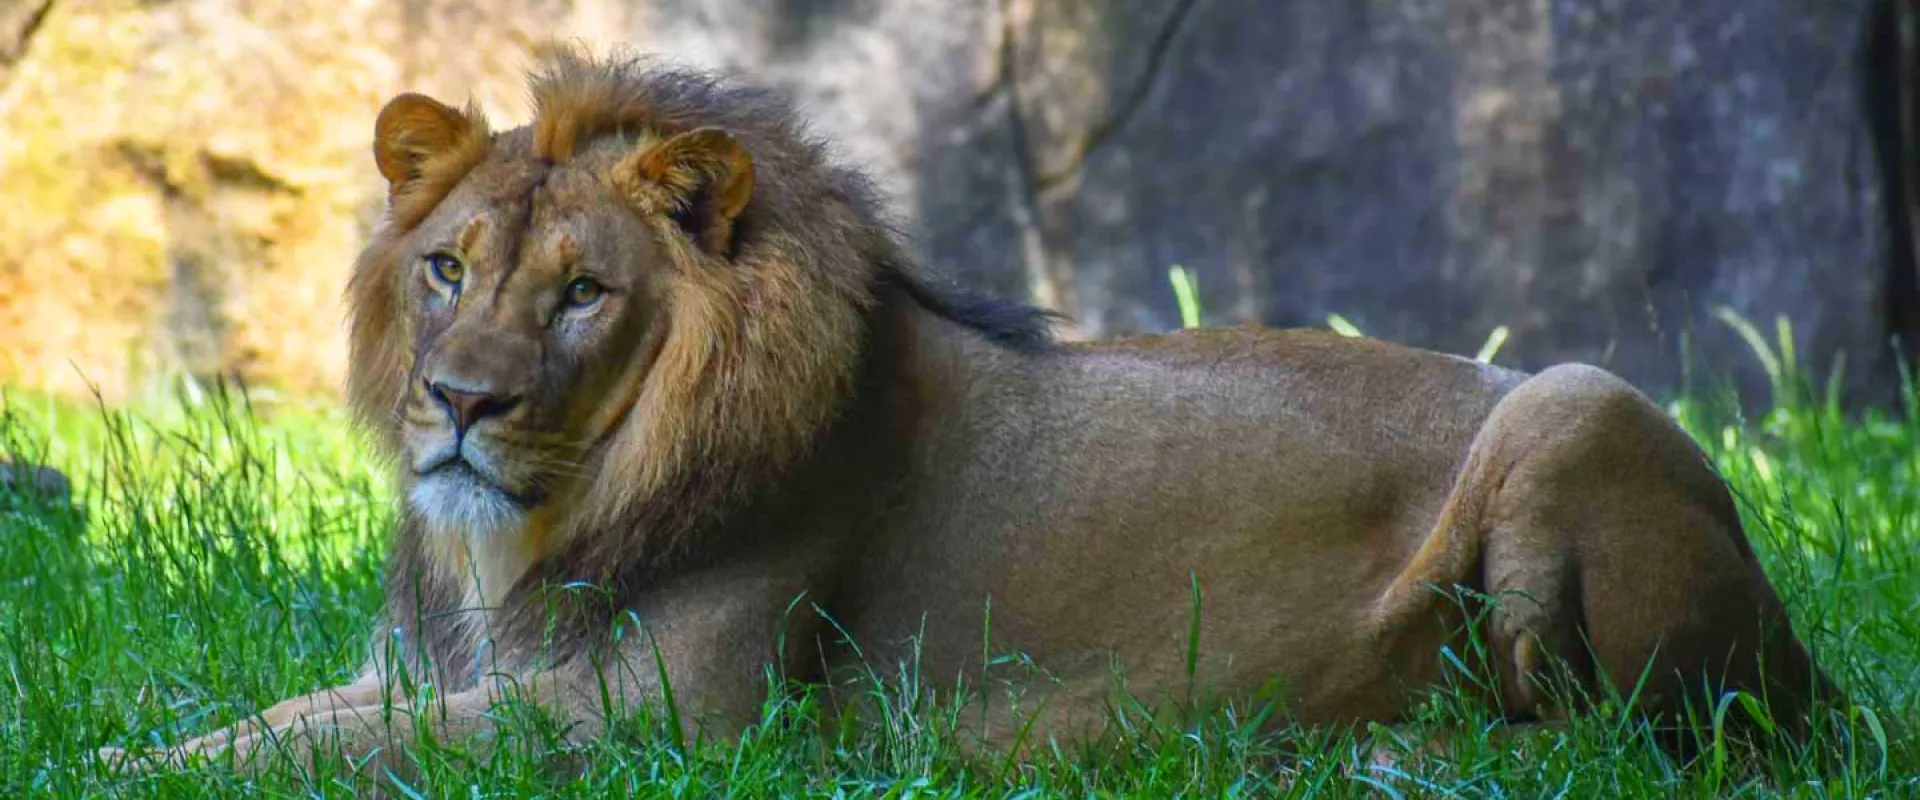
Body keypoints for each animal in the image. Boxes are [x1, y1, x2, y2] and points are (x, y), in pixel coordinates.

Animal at [101, 48, 1838, 777]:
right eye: (449, 267)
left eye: (584, 291)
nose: (460, 405)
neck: (514, 547)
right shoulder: (421, 673)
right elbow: (268, 722)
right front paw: (142, 743)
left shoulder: (659, 721)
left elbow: (311, 757)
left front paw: (127, 774)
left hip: (1579, 400)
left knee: (1641, 729)